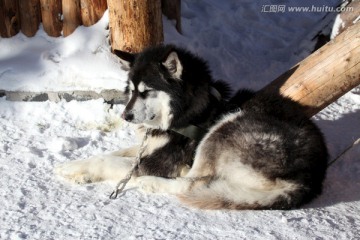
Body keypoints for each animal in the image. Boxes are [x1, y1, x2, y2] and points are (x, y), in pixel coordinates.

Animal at [54, 44, 328, 209]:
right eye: (132, 90)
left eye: (146, 91)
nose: (125, 115)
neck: (185, 114)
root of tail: (309, 179)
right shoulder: (148, 146)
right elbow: (115, 154)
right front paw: (79, 168)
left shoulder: (162, 161)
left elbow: (111, 161)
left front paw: (73, 168)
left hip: (225, 127)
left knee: (193, 183)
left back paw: (153, 182)